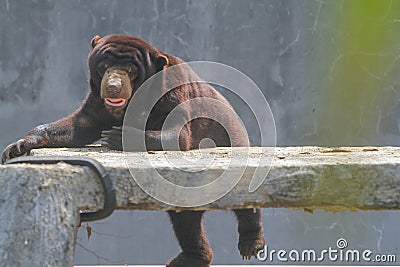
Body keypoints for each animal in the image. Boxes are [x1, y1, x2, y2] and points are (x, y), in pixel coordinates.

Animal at [3, 34, 266, 266]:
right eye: (104, 66)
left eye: (130, 70)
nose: (113, 88)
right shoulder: (97, 103)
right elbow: (78, 126)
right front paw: (18, 145)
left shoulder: (172, 92)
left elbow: (178, 136)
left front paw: (114, 135)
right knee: (186, 221)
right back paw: (190, 258)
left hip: (234, 140)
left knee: (246, 201)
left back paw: (250, 244)